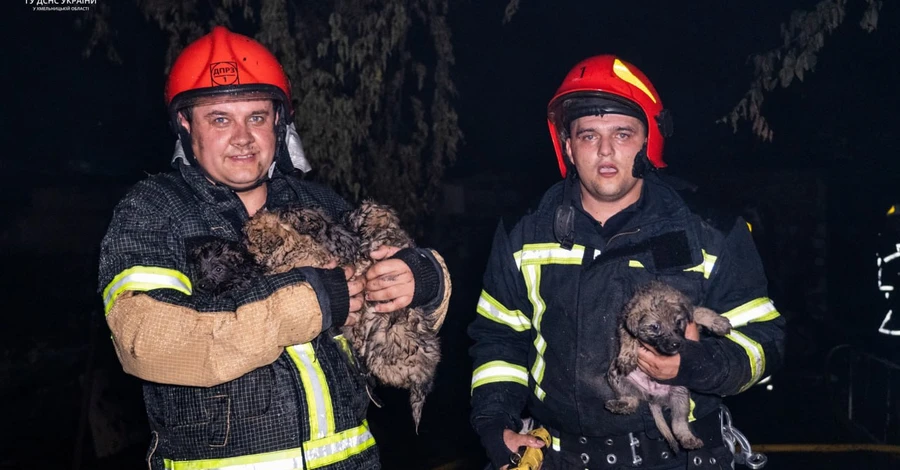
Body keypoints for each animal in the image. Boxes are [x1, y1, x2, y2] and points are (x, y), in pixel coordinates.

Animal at [604, 280, 732, 454]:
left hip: (681, 396)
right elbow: (629, 337)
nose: (675, 345)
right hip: (615, 375)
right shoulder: (624, 324)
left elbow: (698, 311)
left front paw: (717, 322)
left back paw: (688, 439)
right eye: (655, 327)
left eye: (678, 322)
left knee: (679, 424)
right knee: (631, 401)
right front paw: (627, 356)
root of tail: (652, 396)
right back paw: (620, 405)